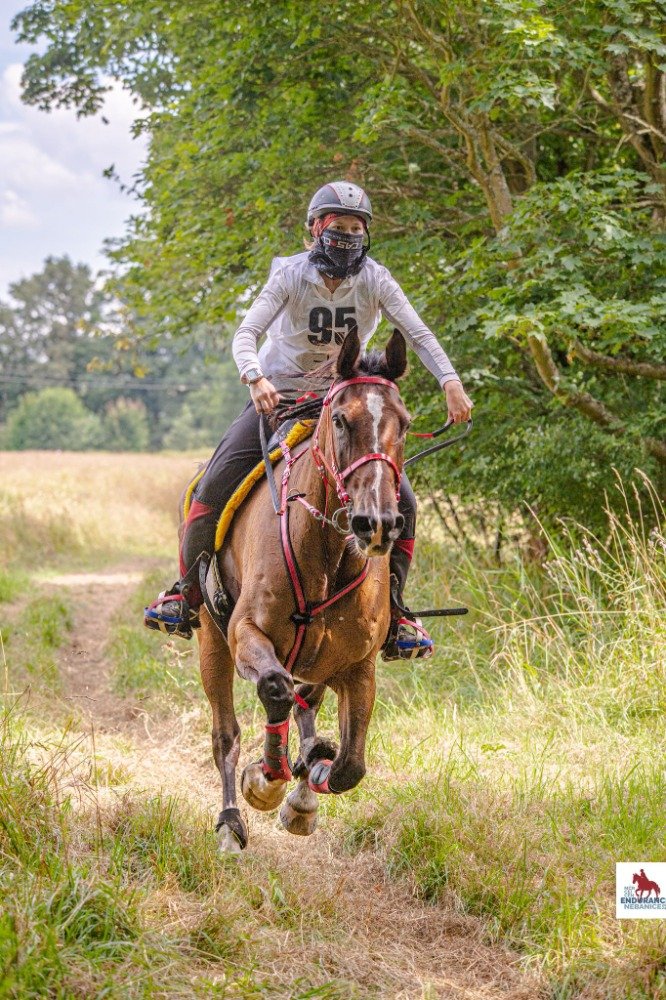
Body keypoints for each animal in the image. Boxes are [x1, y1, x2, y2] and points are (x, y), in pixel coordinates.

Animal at [195, 328, 410, 852]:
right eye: (341, 420)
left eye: (406, 424)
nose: (376, 523)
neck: (329, 556)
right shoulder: (245, 633)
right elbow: (273, 689)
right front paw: (266, 779)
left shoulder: (358, 666)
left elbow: (350, 765)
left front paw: (309, 778)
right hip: (211, 641)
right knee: (226, 733)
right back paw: (231, 819)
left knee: (307, 701)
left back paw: (306, 774)